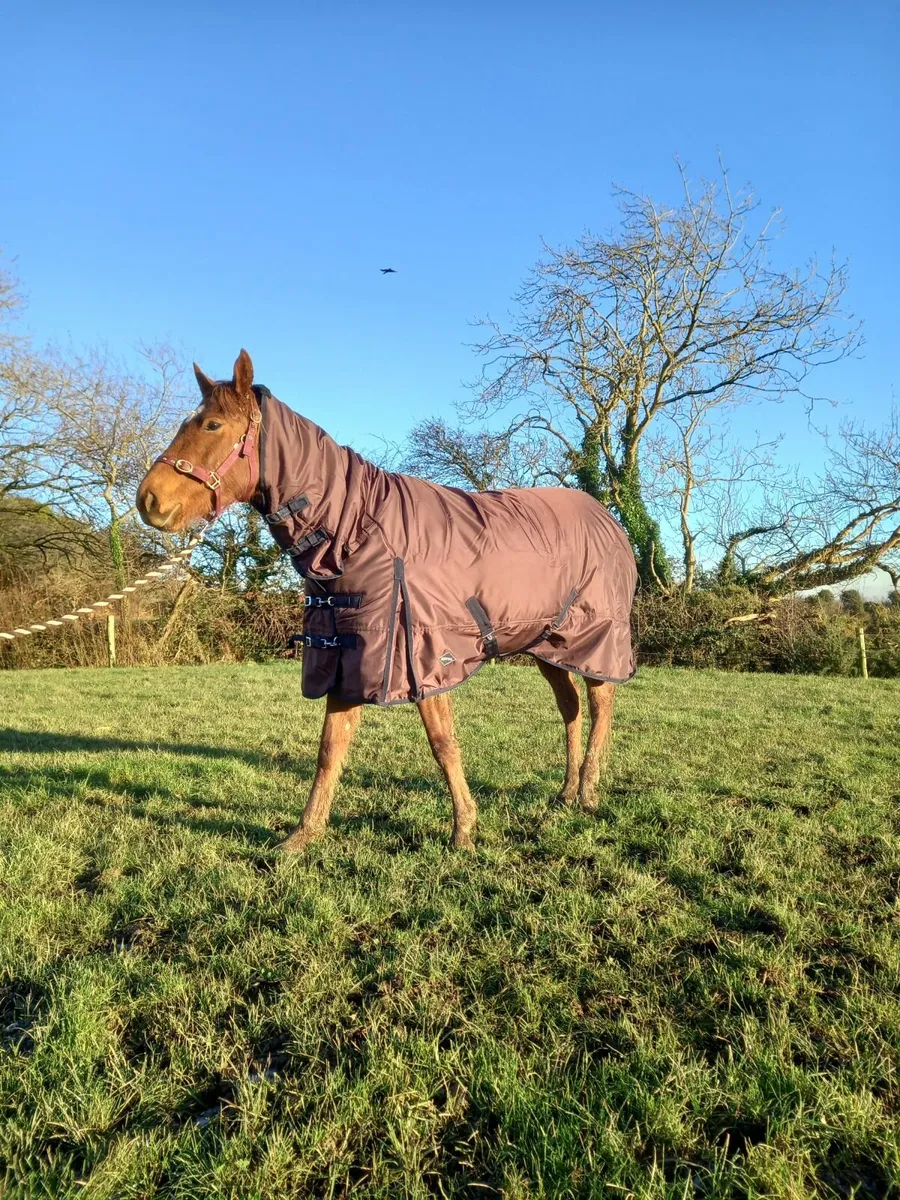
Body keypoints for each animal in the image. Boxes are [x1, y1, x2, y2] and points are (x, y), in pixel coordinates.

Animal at [136, 351, 637, 852]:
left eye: (212, 425)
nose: (148, 500)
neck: (359, 528)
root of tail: (609, 520)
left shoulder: (424, 655)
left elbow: (443, 743)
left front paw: (463, 830)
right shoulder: (349, 656)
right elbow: (330, 748)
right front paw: (302, 836)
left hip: (595, 641)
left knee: (601, 706)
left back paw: (588, 794)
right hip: (547, 645)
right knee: (570, 709)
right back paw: (566, 794)